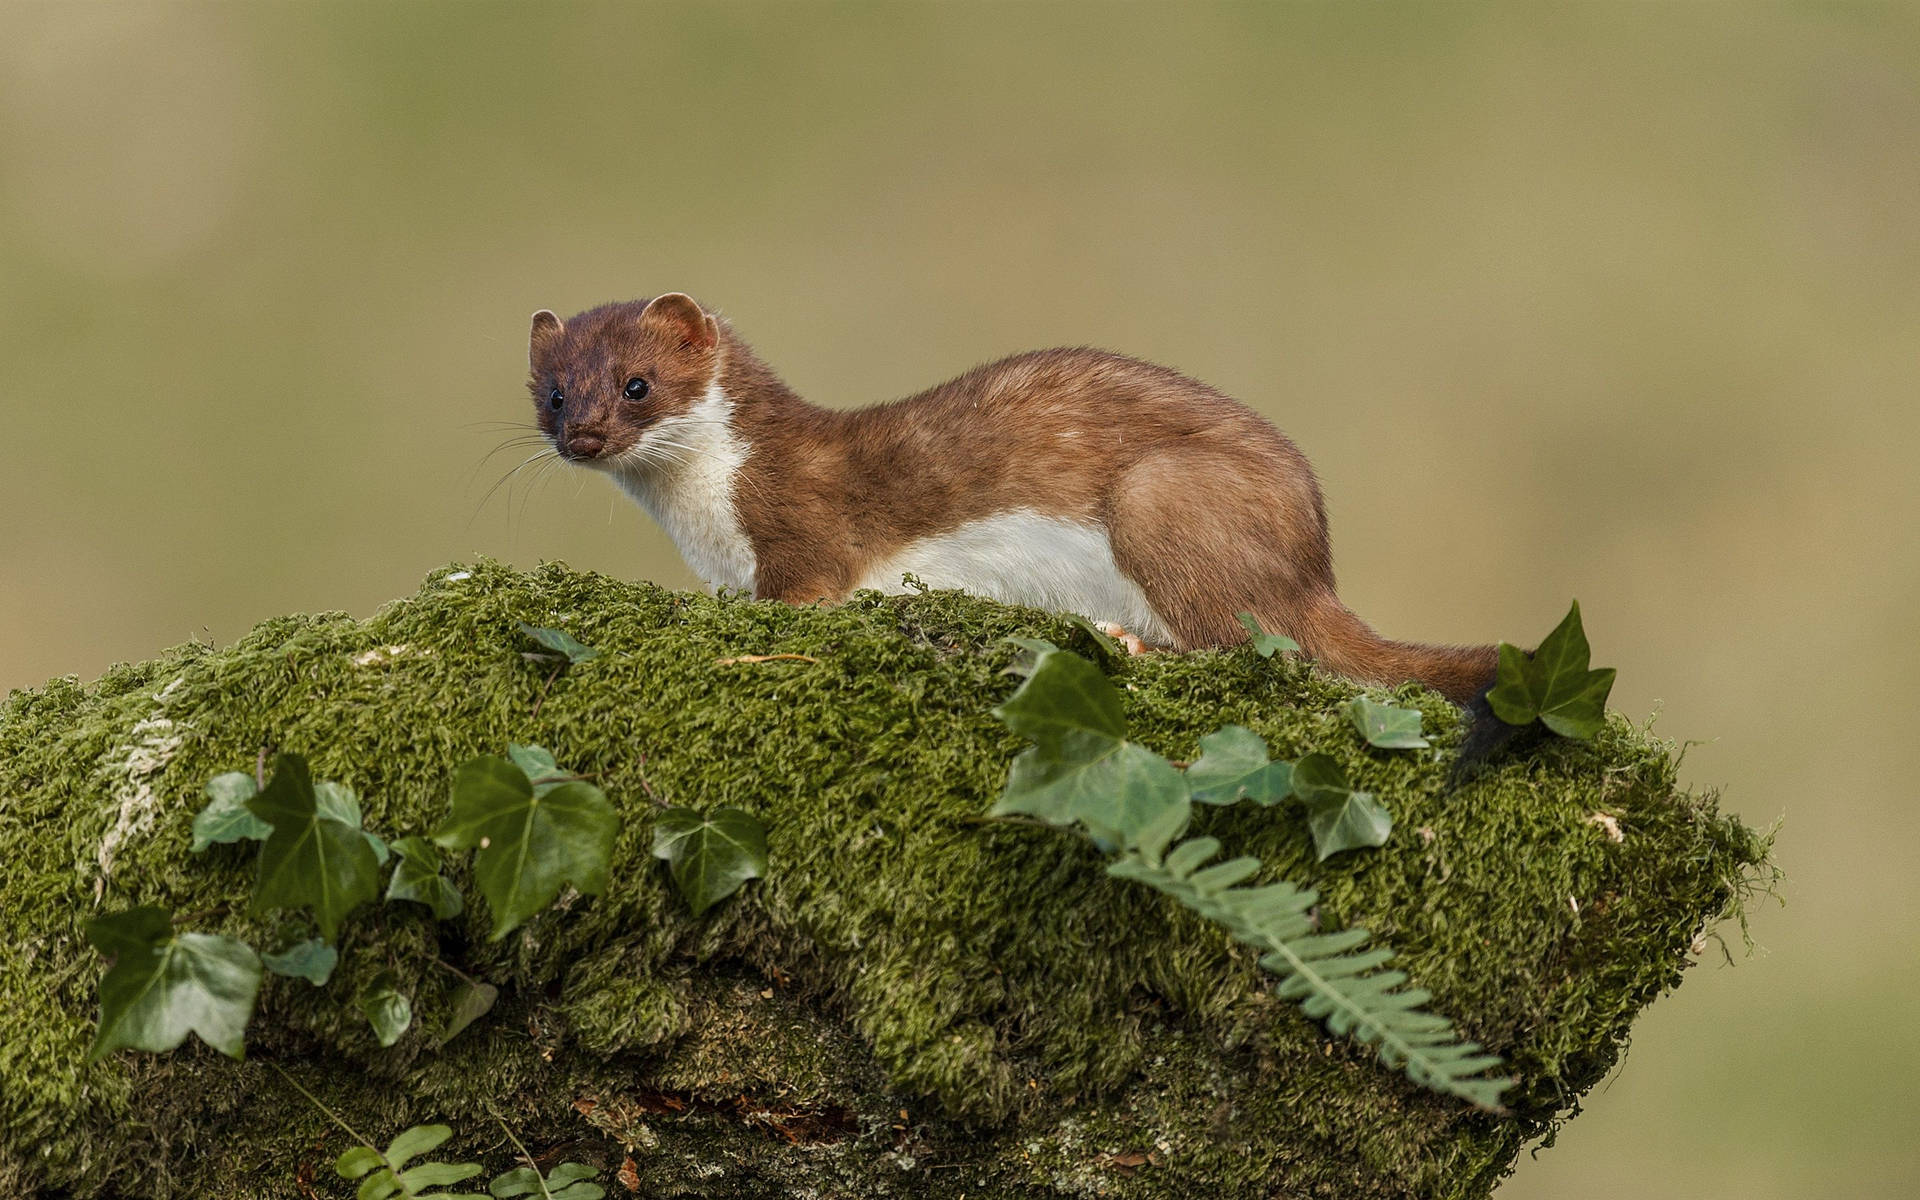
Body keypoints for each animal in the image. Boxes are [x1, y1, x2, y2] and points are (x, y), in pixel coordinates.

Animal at [526, 291, 1497, 702]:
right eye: (556, 393)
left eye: (639, 384)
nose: (583, 437)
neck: (705, 524)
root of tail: (1315, 561)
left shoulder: (800, 531)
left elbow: (802, 592)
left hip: (1160, 495)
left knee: (1248, 645)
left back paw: (1131, 640)